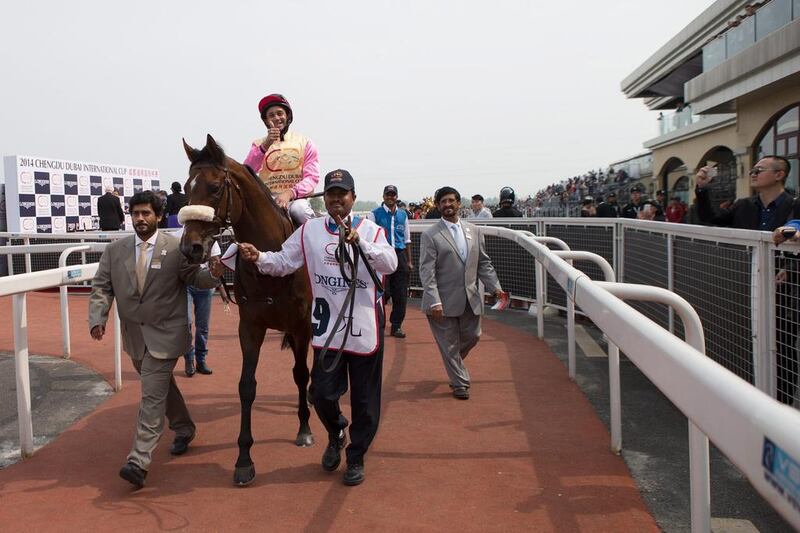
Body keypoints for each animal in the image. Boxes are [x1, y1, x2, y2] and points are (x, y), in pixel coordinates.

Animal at [178, 134, 312, 486]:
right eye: (185, 188)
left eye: (214, 187)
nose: (190, 247)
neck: (273, 261)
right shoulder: (250, 326)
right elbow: (246, 387)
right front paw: (243, 459)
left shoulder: (301, 325)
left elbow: (301, 373)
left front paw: (305, 428)